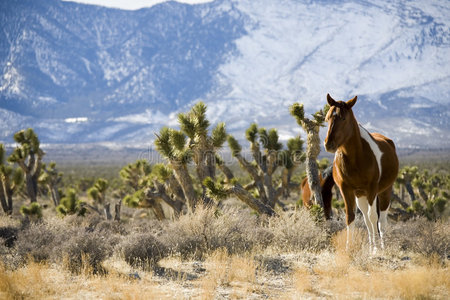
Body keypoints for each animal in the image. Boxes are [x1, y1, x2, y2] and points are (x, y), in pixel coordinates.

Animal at [324, 94, 398, 253]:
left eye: (343, 118)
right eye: (327, 118)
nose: (329, 144)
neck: (357, 157)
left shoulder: (372, 190)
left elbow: (373, 217)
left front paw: (376, 250)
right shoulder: (346, 190)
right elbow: (351, 217)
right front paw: (348, 248)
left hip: (384, 192)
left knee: (381, 221)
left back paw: (382, 246)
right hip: (360, 196)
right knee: (367, 221)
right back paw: (371, 246)